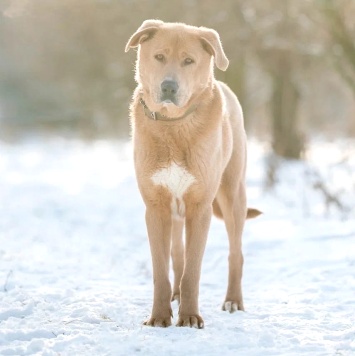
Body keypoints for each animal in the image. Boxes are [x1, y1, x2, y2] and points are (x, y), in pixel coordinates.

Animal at [126, 19, 262, 328]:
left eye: (189, 61)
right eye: (159, 57)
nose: (168, 87)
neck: (173, 125)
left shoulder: (200, 208)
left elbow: (193, 270)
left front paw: (189, 317)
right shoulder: (156, 208)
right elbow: (161, 270)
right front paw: (159, 316)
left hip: (232, 196)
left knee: (235, 254)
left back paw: (233, 300)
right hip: (177, 213)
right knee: (177, 254)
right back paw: (174, 296)